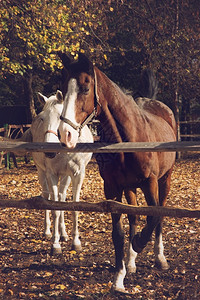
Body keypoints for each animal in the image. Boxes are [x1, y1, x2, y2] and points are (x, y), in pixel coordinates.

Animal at [30, 91, 92, 253]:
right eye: (42, 118)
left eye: (60, 117)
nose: (49, 151)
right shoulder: (51, 174)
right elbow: (55, 208)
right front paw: (55, 244)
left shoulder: (77, 174)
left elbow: (73, 207)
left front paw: (76, 242)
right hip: (41, 171)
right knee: (47, 196)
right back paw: (48, 232)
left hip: (66, 176)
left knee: (62, 196)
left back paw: (63, 233)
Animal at [57, 52, 176, 292]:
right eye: (64, 89)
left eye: (85, 88)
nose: (65, 134)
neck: (129, 137)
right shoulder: (112, 187)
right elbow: (119, 233)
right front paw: (120, 276)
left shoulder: (150, 183)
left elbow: (153, 216)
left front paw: (140, 243)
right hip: (130, 187)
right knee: (133, 216)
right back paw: (131, 262)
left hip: (164, 180)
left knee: (159, 214)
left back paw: (159, 258)